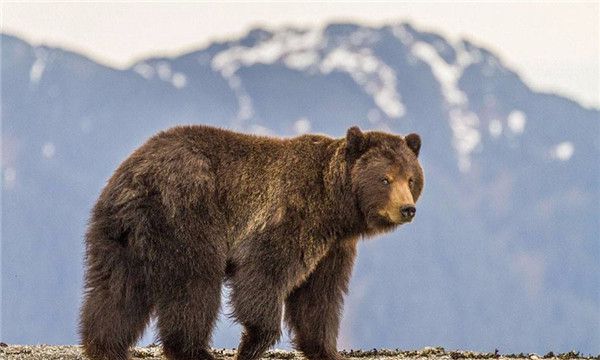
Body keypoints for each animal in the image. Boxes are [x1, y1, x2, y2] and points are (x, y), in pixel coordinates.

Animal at [79, 124, 424, 360]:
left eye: (411, 179)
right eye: (385, 178)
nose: (407, 209)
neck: (335, 207)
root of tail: (134, 175)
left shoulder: (333, 248)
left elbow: (318, 298)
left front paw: (325, 350)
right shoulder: (290, 214)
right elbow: (264, 275)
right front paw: (253, 343)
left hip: (119, 236)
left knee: (115, 291)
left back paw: (106, 347)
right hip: (186, 214)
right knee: (193, 286)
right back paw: (195, 350)